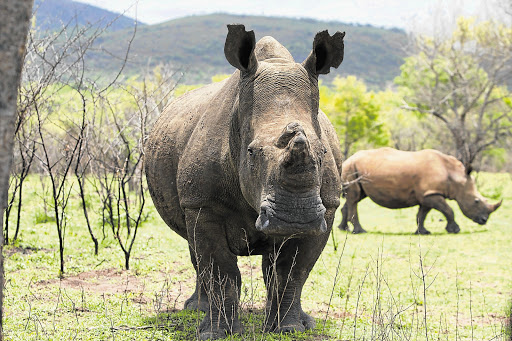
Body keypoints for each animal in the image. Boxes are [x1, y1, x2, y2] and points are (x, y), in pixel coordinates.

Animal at [144, 25, 344, 338]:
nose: (295, 217)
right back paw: (195, 311)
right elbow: (220, 270)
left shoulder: (327, 207)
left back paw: (302, 321)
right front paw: (214, 334)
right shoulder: (202, 204)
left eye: (323, 152)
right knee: (195, 249)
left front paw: (288, 329)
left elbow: (293, 272)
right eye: (251, 152)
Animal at [338, 146, 502, 234]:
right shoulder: (431, 193)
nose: (484, 220)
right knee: (354, 199)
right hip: (351, 168)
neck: (455, 176)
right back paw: (360, 231)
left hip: (354, 169)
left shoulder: (427, 194)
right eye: (476, 201)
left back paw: (344, 229)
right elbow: (448, 210)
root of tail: (347, 159)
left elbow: (422, 214)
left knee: (354, 197)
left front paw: (423, 232)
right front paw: (455, 230)